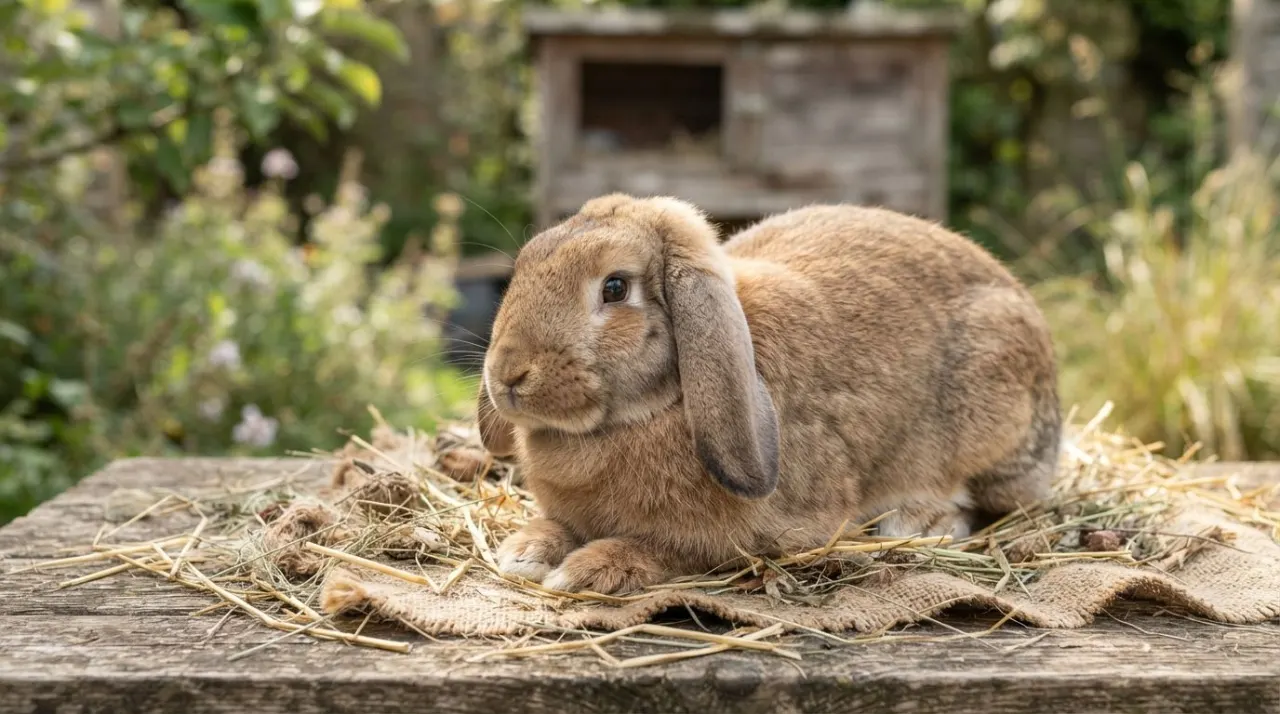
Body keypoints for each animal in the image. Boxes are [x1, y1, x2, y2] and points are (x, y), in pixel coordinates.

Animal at [477, 194, 1061, 595]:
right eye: (525, 264)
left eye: (615, 287)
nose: (508, 375)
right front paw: (526, 552)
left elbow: (670, 551)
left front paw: (586, 572)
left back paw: (920, 521)